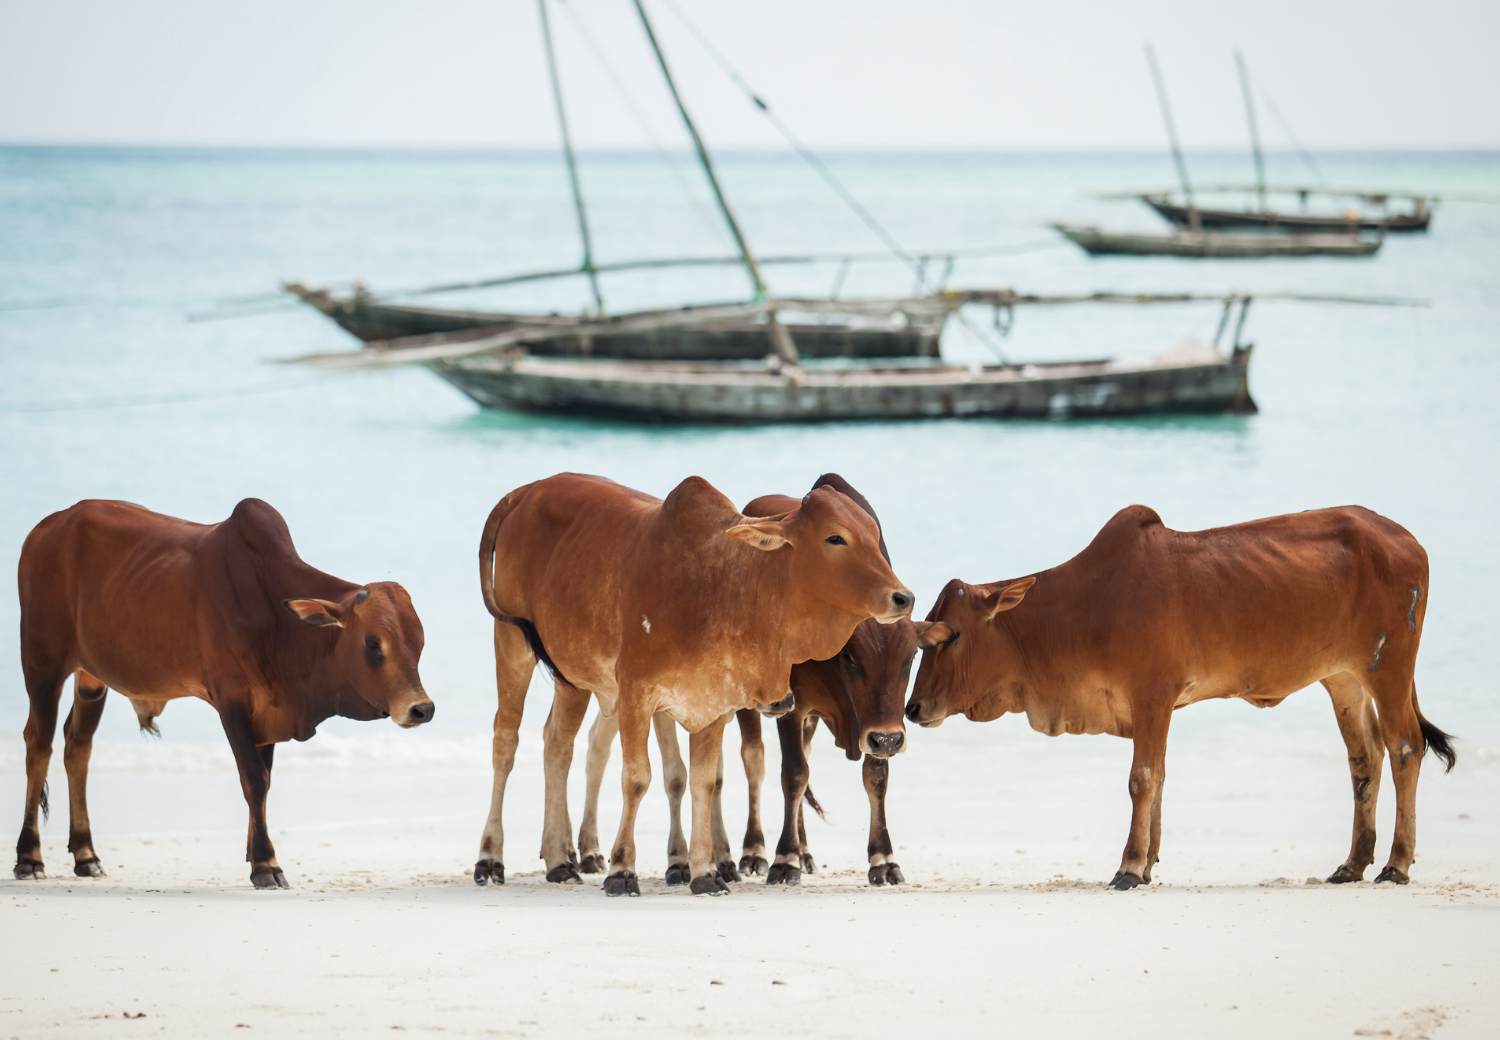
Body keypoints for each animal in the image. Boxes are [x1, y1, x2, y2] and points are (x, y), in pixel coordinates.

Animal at [14, 498, 432, 888]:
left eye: (419, 641)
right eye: (373, 643)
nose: (421, 709)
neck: (276, 616)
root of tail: (46, 529)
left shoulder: (269, 710)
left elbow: (264, 780)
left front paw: (253, 855)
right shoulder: (232, 702)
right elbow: (254, 779)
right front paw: (266, 863)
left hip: (91, 677)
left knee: (78, 747)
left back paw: (86, 855)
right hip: (42, 662)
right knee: (39, 745)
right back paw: (29, 858)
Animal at [474, 471, 912, 894]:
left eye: (873, 534)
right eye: (835, 537)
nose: (903, 597)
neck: (723, 586)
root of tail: (526, 491)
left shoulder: (713, 704)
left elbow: (704, 782)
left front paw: (704, 873)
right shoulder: (637, 695)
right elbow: (637, 778)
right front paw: (623, 871)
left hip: (572, 677)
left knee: (557, 746)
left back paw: (559, 859)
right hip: (512, 643)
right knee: (506, 742)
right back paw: (491, 857)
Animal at [900, 507, 1452, 888]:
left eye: (949, 636)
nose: (912, 708)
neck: (1081, 610)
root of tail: (1409, 540)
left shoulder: (1152, 696)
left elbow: (1142, 778)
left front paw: (1128, 868)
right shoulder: (1155, 706)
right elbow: (1159, 777)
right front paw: (1147, 865)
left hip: (1389, 668)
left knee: (1405, 749)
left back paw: (1396, 863)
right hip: (1343, 679)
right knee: (1365, 758)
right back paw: (1353, 863)